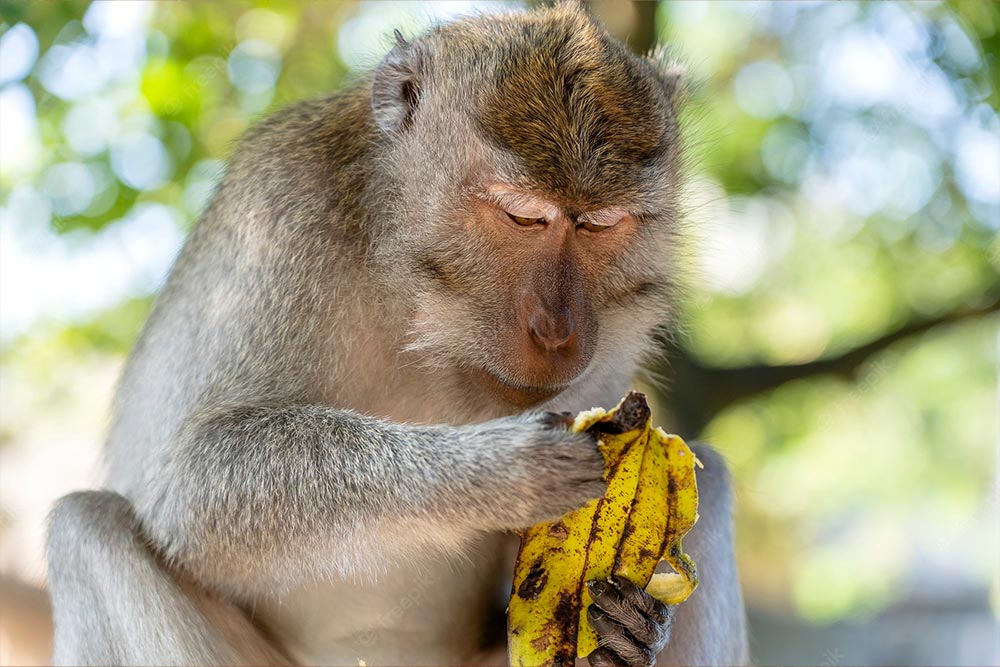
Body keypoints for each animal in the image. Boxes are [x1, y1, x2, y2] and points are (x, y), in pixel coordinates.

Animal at [45, 3, 748, 666]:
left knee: (709, 475)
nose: (557, 330)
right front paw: (497, 469)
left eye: (601, 225)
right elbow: (190, 488)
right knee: (87, 527)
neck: (411, 295)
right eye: (523, 216)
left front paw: (636, 625)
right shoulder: (278, 214)